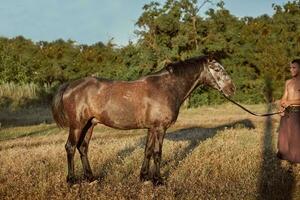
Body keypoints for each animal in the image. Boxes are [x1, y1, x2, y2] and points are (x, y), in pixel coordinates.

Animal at [51, 55, 236, 185]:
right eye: (217, 69)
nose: (232, 89)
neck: (166, 88)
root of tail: (69, 86)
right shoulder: (160, 128)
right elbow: (157, 153)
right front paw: (158, 180)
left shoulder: (152, 128)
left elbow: (147, 151)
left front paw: (144, 177)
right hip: (77, 125)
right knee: (70, 147)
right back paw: (72, 180)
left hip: (89, 125)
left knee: (83, 147)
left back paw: (90, 178)